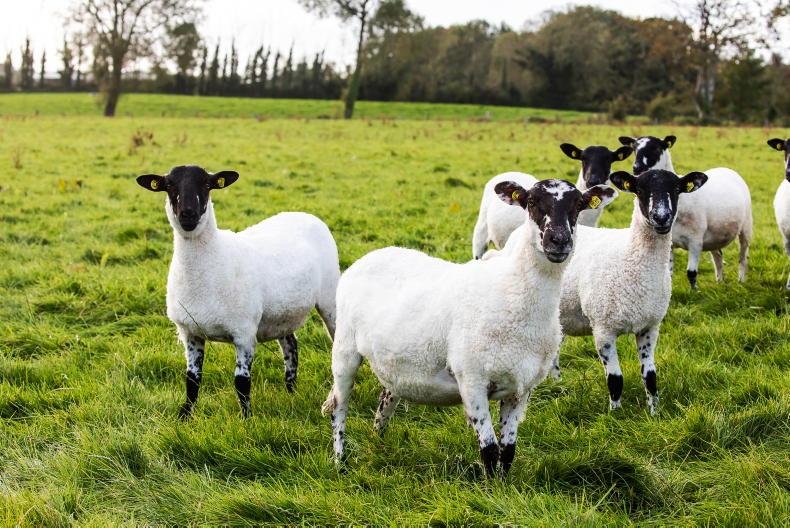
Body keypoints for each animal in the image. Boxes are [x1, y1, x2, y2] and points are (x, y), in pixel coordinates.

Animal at [135, 165, 340, 418]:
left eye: (207, 185)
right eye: (169, 185)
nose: (188, 214)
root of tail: (304, 214)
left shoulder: (244, 333)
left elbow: (241, 382)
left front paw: (246, 419)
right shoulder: (190, 333)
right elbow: (192, 379)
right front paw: (184, 416)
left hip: (330, 299)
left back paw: (329, 402)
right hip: (280, 314)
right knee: (291, 344)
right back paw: (291, 391)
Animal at [322, 179, 616, 477]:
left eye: (578, 205)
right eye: (532, 202)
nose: (559, 240)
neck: (511, 290)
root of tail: (372, 255)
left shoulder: (521, 389)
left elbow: (508, 451)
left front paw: (504, 486)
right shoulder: (472, 380)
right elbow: (490, 450)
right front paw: (490, 487)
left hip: (396, 366)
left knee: (385, 398)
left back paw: (379, 444)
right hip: (344, 349)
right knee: (339, 407)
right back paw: (339, 462)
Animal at [558, 168, 708, 415]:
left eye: (677, 189)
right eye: (640, 189)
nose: (661, 217)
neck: (631, 259)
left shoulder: (649, 327)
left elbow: (650, 376)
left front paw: (654, 412)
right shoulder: (603, 330)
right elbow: (615, 379)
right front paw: (614, 415)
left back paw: (556, 382)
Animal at [619, 135, 752, 288]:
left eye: (657, 148)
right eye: (634, 148)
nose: (637, 168)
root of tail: (726, 169)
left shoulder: (695, 241)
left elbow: (691, 273)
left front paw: (695, 291)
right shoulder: (670, 244)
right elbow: (668, 274)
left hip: (746, 227)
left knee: (743, 256)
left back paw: (741, 280)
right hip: (715, 234)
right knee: (718, 255)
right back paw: (719, 281)